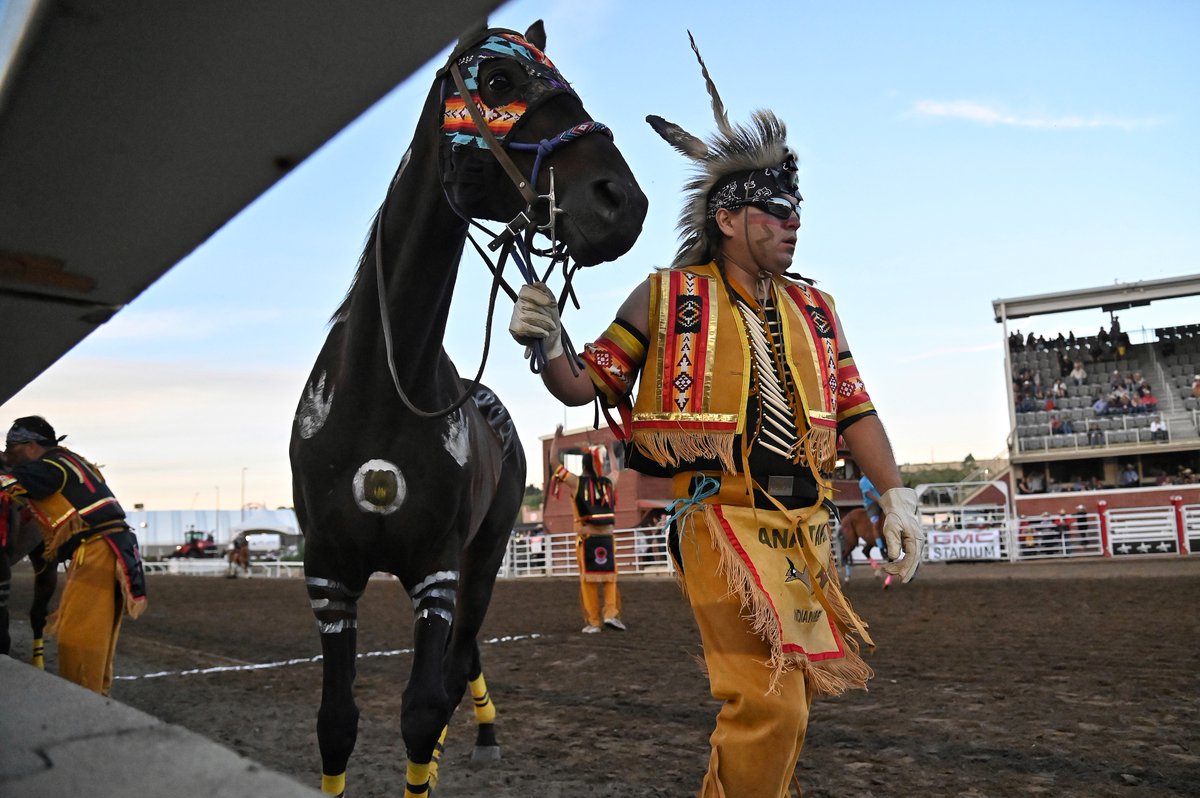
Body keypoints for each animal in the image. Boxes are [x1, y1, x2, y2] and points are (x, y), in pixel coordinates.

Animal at [288, 20, 648, 796]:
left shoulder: (440, 572)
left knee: (460, 664)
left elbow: (424, 707)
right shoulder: (328, 572)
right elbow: (335, 724)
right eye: (500, 82)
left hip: (484, 558)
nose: (622, 201)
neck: (380, 389)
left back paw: (478, 734)